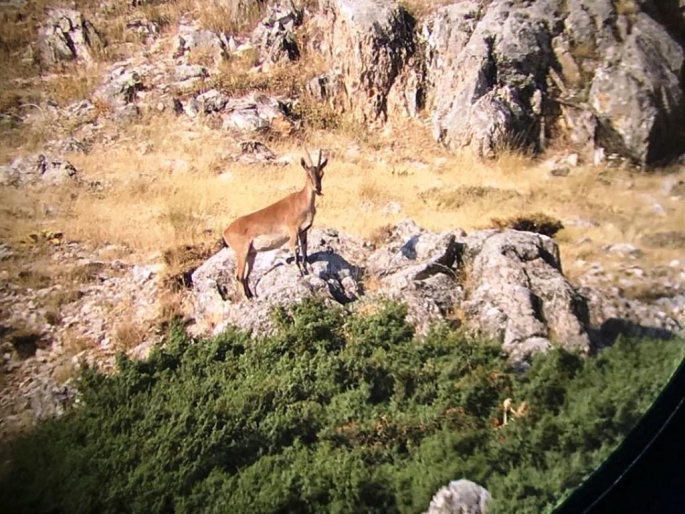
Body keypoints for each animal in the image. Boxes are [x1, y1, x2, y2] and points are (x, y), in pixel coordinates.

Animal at [220, 148, 324, 298]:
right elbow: (295, 251)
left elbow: (304, 250)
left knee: (245, 276)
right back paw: (247, 299)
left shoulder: (303, 232)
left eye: (322, 173)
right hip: (242, 252)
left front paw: (306, 272)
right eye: (308, 173)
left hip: (251, 254)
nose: (318, 188)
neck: (301, 203)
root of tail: (225, 232)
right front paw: (299, 273)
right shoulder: (293, 232)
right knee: (238, 276)